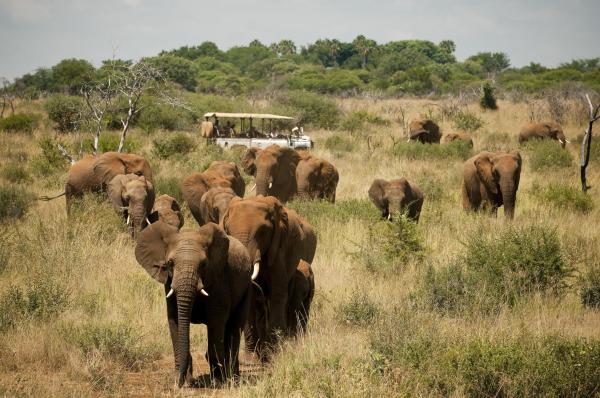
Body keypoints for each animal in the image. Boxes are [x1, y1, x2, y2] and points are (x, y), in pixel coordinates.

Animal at [135, 221, 253, 386]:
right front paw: (183, 381)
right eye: (170, 263)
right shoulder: (169, 282)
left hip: (247, 287)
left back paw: (232, 377)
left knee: (234, 327)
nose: (179, 383)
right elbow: (175, 320)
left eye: (203, 264)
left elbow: (216, 321)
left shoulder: (219, 279)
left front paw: (217, 381)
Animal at [223, 194, 316, 360]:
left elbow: (277, 294)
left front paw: (274, 354)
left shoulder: (278, 248)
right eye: (228, 230)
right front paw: (251, 359)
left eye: (262, 232)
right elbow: (251, 299)